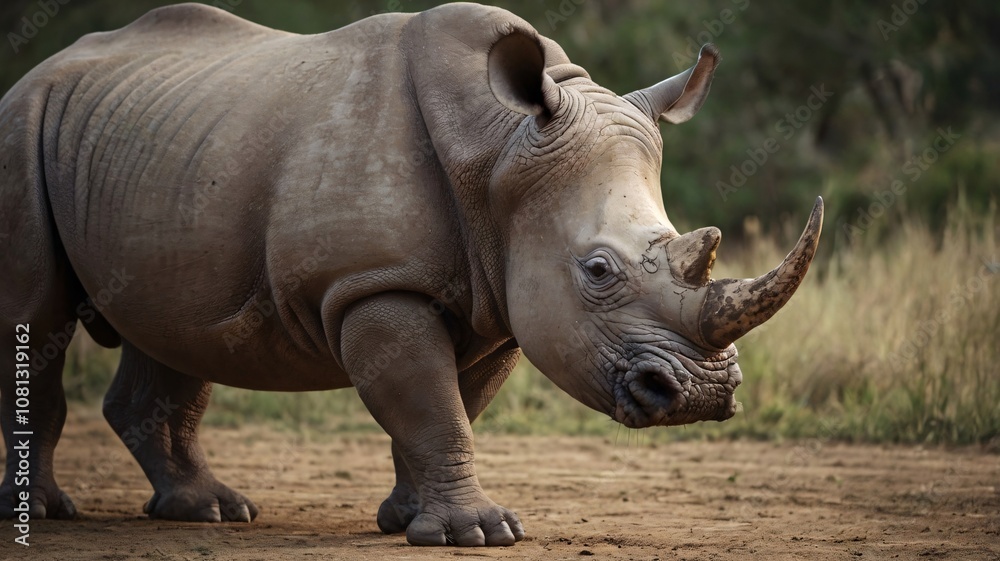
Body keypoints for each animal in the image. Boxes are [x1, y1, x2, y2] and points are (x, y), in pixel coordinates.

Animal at [0, 2, 823, 547]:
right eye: (597, 270)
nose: (704, 395)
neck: (501, 148)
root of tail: (35, 74)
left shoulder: (498, 303)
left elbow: (446, 403)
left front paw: (408, 522)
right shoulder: (372, 280)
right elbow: (430, 401)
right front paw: (481, 533)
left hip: (159, 145)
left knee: (172, 331)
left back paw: (211, 511)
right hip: (21, 126)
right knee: (35, 319)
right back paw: (45, 514)